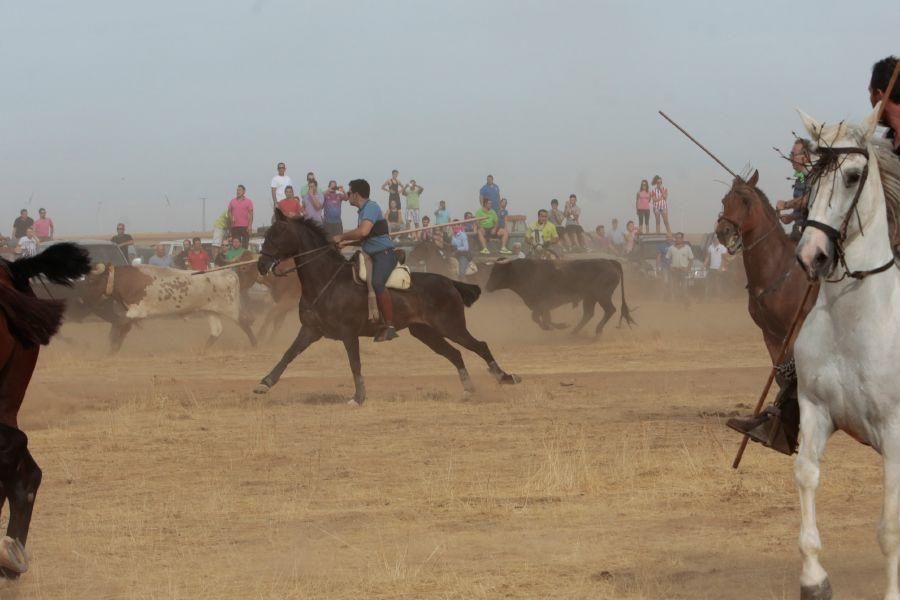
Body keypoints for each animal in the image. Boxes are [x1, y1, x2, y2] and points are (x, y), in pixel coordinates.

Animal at [253, 213, 520, 406]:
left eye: (276, 234)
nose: (261, 264)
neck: (327, 280)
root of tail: (449, 282)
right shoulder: (310, 330)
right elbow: (288, 354)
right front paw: (265, 382)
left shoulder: (348, 333)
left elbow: (355, 363)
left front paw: (358, 397)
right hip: (426, 332)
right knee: (455, 354)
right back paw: (469, 387)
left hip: (451, 326)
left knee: (479, 346)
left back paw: (504, 377)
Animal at [482, 256, 636, 336]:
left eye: (497, 270)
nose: (487, 287)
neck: (525, 272)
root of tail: (610, 261)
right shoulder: (544, 307)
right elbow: (545, 319)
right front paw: (559, 326)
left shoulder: (541, 304)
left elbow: (537, 318)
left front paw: (552, 327)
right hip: (589, 297)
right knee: (588, 314)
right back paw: (573, 332)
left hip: (602, 295)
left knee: (610, 310)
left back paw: (597, 331)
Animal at [716, 171, 816, 452]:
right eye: (725, 200)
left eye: (746, 201)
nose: (723, 232)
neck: (778, 269)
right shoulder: (771, 334)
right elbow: (781, 376)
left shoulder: (797, 327)